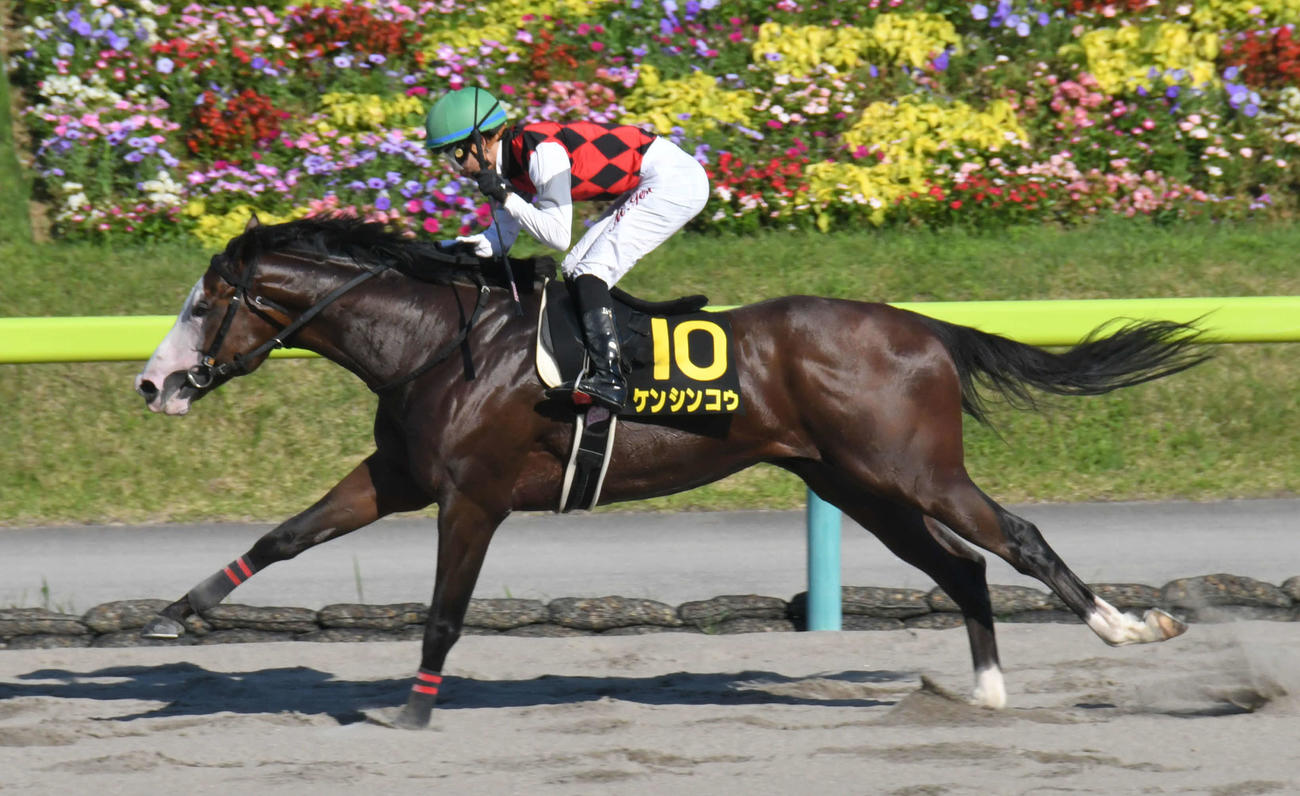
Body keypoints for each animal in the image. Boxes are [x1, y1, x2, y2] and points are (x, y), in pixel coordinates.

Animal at [134, 214, 1209, 729]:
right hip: (856, 483)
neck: (434, 342)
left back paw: (1130, 628)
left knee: (1015, 539)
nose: (151, 382)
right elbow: (285, 535)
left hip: (913, 470)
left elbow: (443, 610)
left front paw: (414, 709)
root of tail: (924, 329)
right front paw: (177, 612)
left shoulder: (472, 496)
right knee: (963, 566)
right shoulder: (398, 476)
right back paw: (981, 693)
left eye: (203, 305)